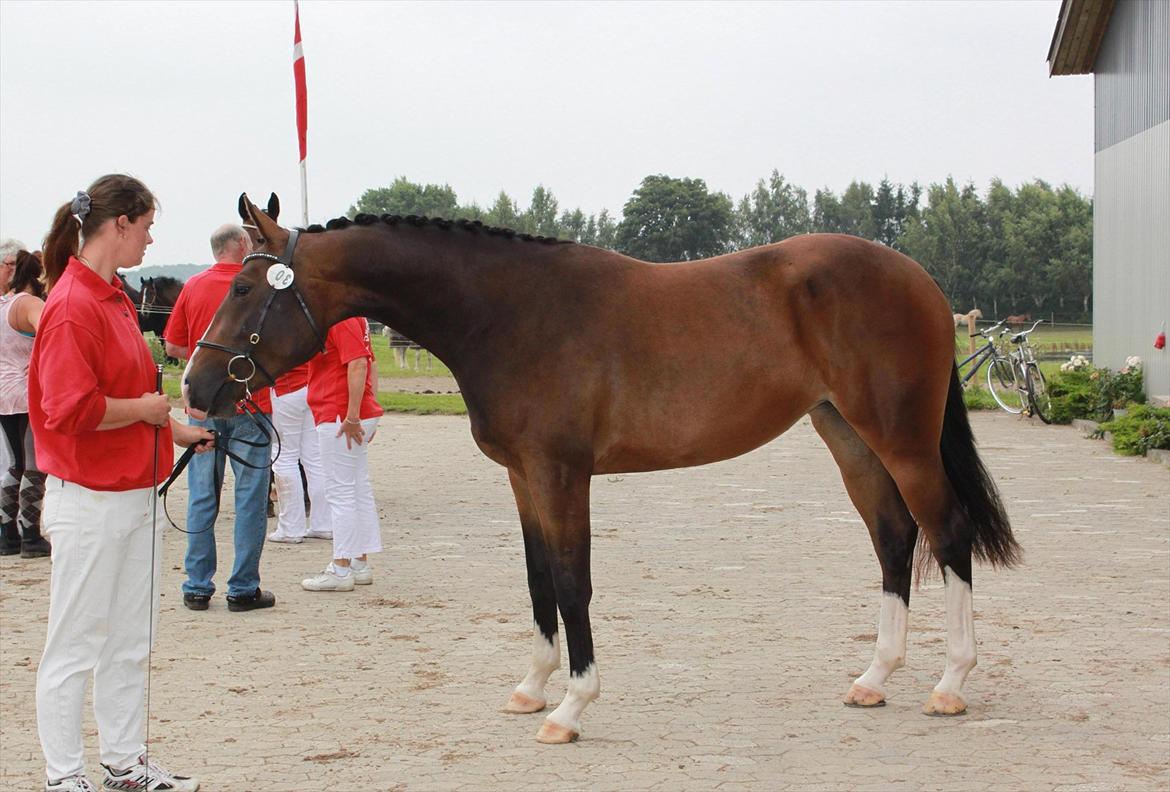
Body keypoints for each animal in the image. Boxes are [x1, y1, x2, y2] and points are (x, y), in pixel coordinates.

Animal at [182, 196, 1015, 739]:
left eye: (245, 288)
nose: (195, 386)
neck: (514, 314)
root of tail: (920, 278)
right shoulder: (522, 476)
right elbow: (538, 580)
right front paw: (531, 688)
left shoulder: (561, 474)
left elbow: (573, 580)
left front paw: (572, 706)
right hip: (847, 435)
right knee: (893, 536)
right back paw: (875, 678)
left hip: (902, 441)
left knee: (947, 533)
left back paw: (950, 684)